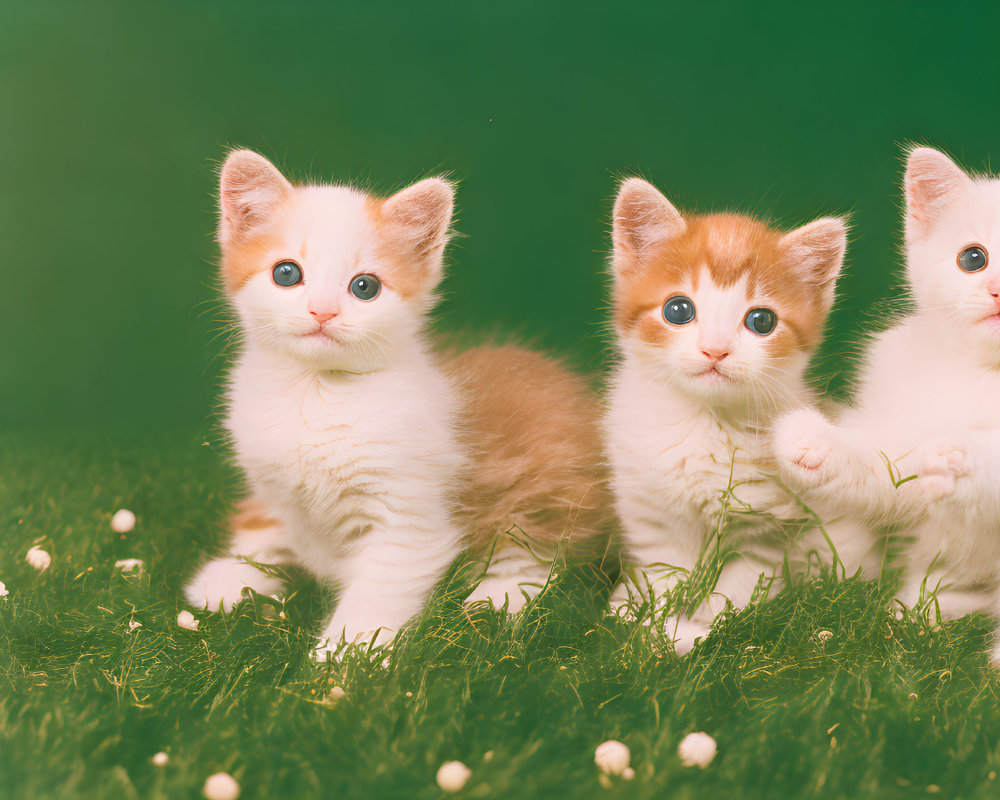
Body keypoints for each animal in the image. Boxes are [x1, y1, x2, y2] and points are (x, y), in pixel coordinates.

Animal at [184, 148, 612, 656]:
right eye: (286, 273)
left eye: (364, 287)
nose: (323, 311)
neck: (317, 393)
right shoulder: (272, 478)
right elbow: (267, 524)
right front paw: (232, 574)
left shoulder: (411, 519)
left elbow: (377, 589)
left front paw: (344, 655)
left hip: (550, 478)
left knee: (541, 549)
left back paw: (493, 600)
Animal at [600, 178, 852, 652]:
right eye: (678, 310)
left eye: (761, 321)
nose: (715, 350)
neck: (705, 422)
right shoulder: (652, 514)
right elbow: (664, 572)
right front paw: (654, 626)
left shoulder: (770, 526)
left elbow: (737, 587)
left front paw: (703, 629)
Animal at [776, 148, 1000, 656]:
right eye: (973, 259)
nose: (996, 290)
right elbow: (888, 466)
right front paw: (815, 445)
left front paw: (957, 457)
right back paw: (921, 610)